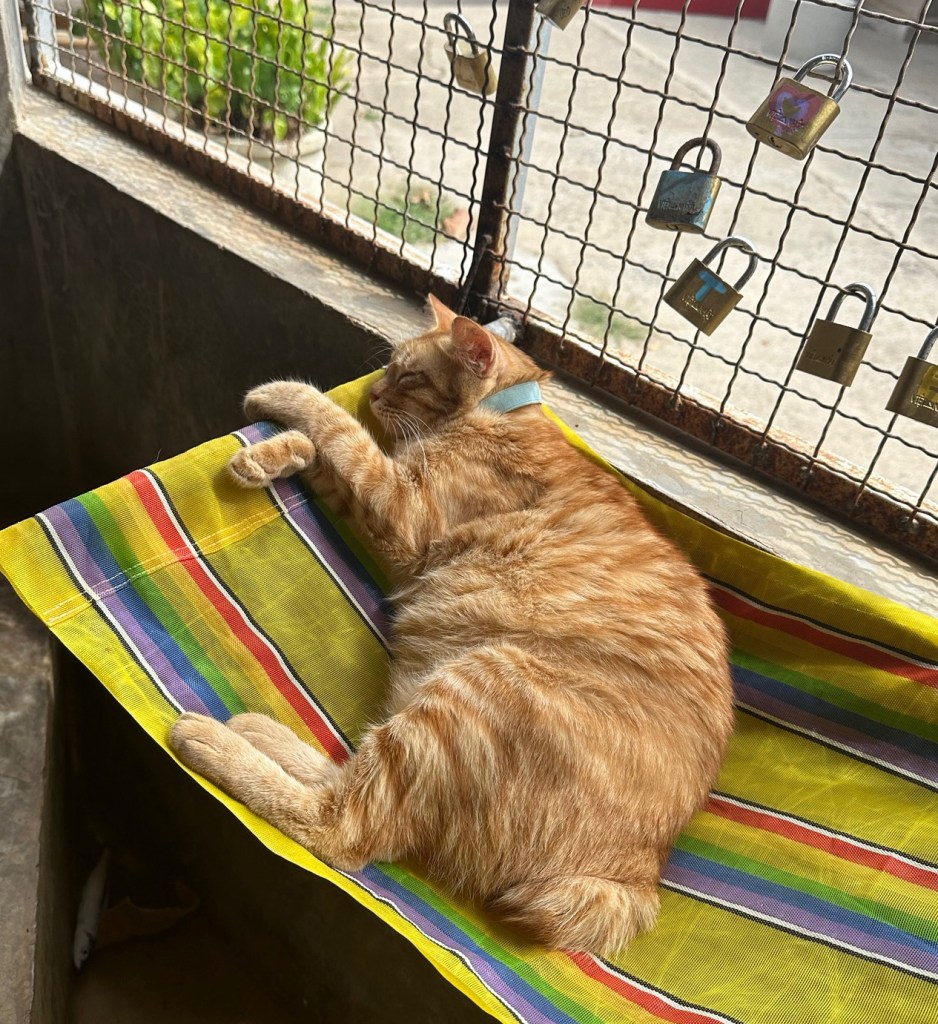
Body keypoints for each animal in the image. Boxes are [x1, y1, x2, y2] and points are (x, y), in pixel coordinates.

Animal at [169, 296, 734, 954]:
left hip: (477, 686)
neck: (504, 410)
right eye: (389, 368)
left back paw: (212, 740)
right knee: (346, 784)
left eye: (411, 376)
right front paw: (272, 454)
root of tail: (637, 874)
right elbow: (330, 451)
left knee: (342, 827)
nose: (374, 393)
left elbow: (336, 427)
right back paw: (259, 730)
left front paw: (283, 394)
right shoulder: (387, 506)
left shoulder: (401, 506)